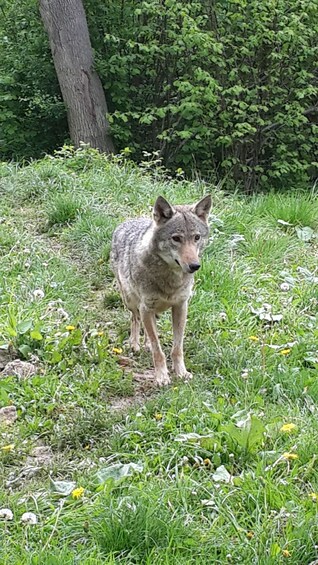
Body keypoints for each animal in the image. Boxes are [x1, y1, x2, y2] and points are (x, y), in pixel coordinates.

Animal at [110, 194, 212, 384]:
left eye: (196, 237)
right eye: (176, 238)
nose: (195, 266)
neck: (171, 279)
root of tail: (127, 222)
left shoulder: (181, 306)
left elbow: (177, 347)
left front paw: (181, 372)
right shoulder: (146, 307)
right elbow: (158, 350)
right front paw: (162, 377)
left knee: (149, 331)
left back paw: (146, 344)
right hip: (130, 301)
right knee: (135, 319)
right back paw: (134, 344)